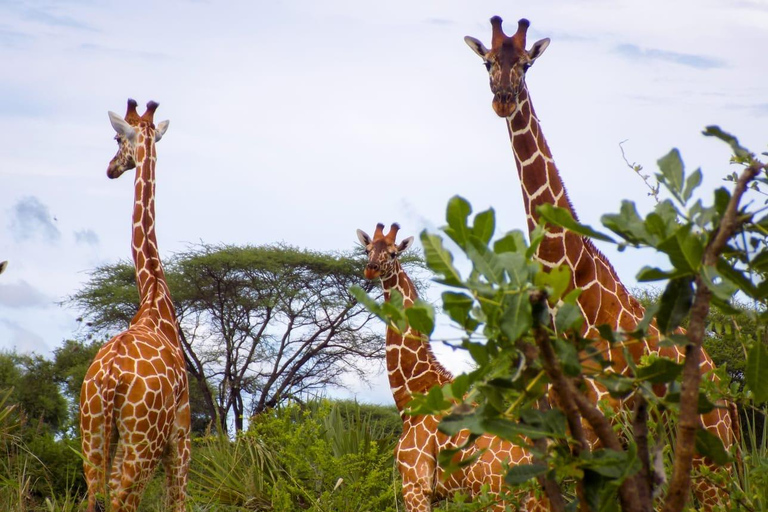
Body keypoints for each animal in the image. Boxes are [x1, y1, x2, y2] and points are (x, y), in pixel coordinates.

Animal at [80, 100, 191, 512]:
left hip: (93, 431)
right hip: (145, 440)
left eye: (116, 139)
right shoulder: (181, 432)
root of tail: (111, 376)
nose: (111, 168)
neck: (155, 299)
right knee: (122, 500)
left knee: (96, 496)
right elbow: (178, 500)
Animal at [356, 223, 544, 512]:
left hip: (497, 498)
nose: (371, 269)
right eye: (367, 249)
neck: (414, 391)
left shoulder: (415, 486)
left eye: (393, 253)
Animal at [464, 15, 736, 508]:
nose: (503, 100)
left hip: (713, 449)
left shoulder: (606, 427)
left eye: (527, 64)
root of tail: (723, 387)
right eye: (488, 62)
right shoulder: (573, 430)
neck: (572, 279)